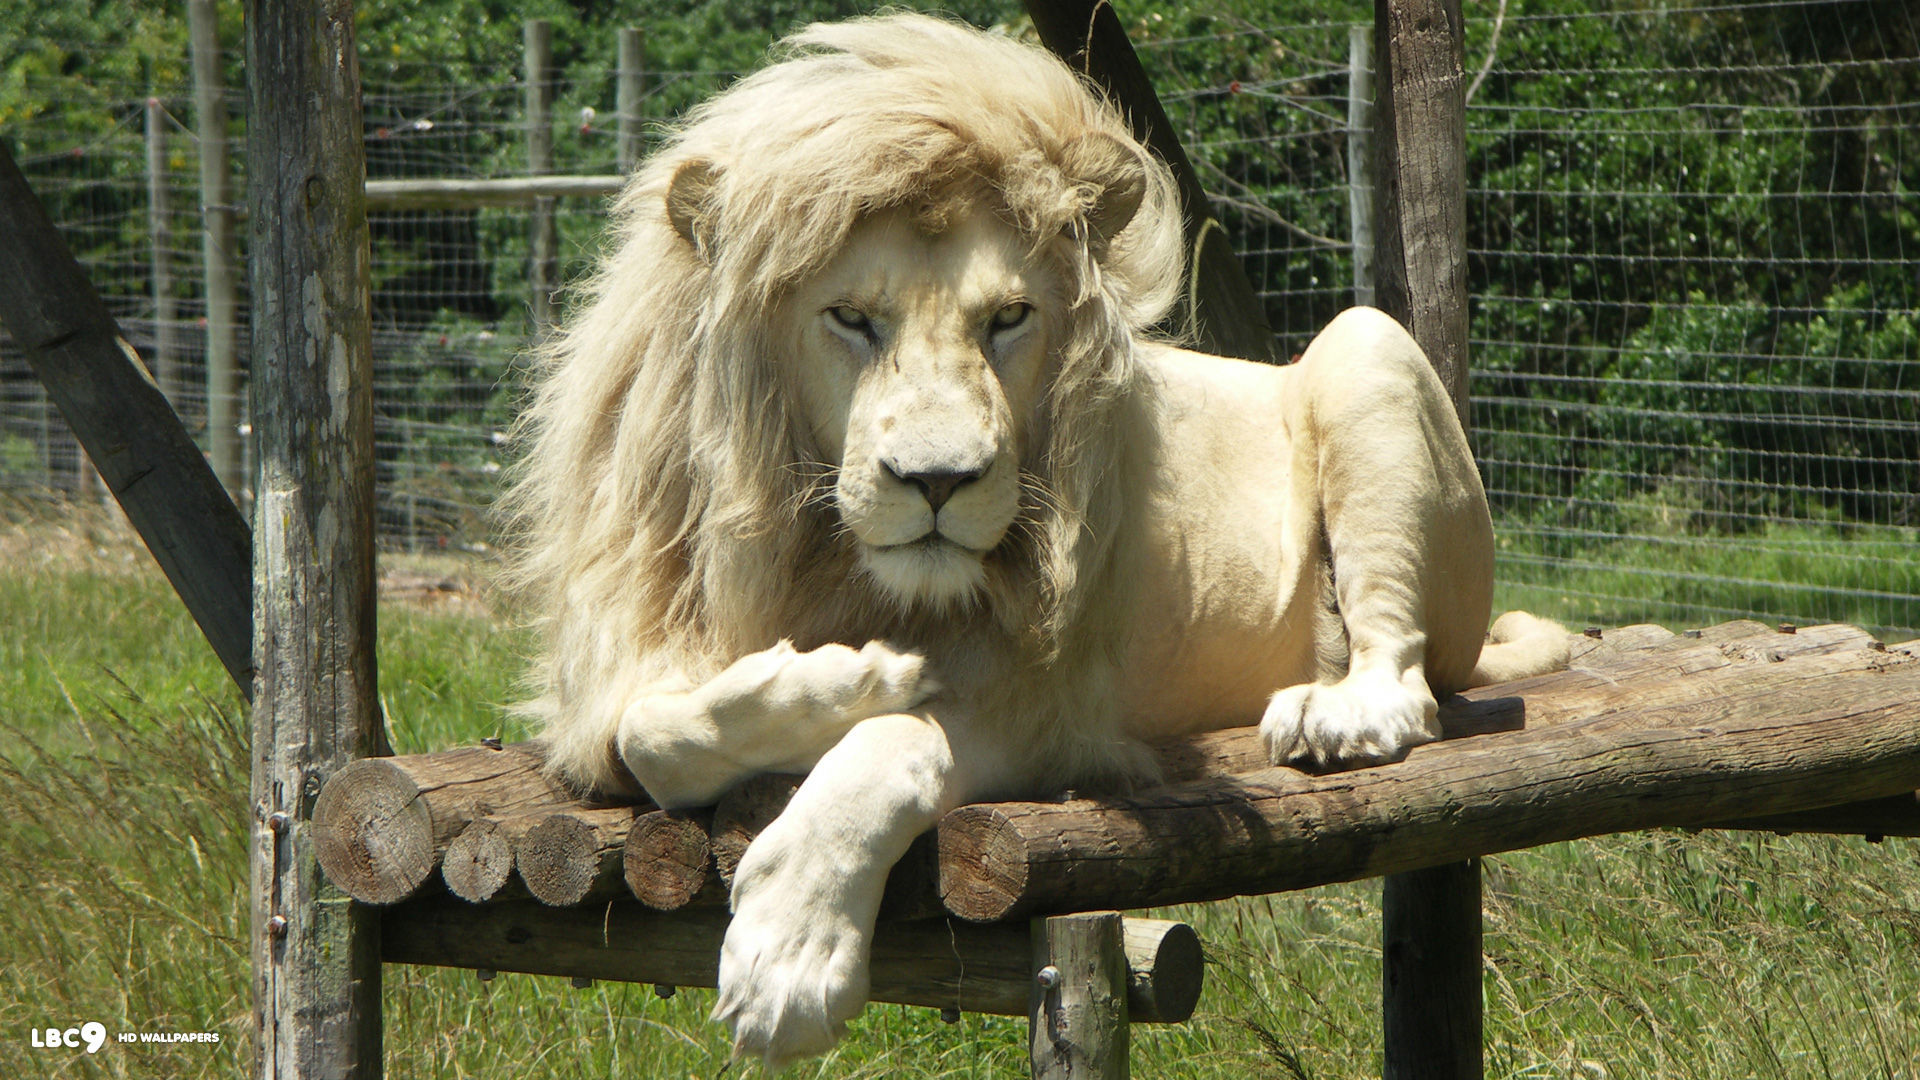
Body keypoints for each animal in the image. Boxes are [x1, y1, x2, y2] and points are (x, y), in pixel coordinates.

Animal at [502, 12, 1568, 1071]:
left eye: (1009, 317)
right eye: (851, 318)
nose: (939, 481)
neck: (831, 560)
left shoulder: (1058, 713)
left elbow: (896, 743)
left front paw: (789, 959)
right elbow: (650, 734)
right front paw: (834, 681)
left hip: (1368, 345)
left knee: (1406, 682)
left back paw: (1332, 711)